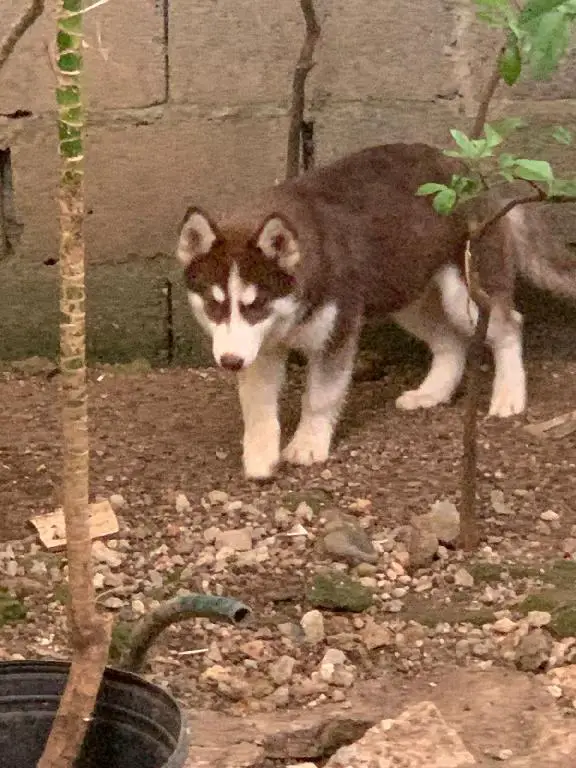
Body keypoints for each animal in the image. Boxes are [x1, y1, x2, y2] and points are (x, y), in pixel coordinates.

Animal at [176, 142, 576, 480]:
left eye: (256, 304)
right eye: (213, 305)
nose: (229, 362)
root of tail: (477, 175)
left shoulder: (336, 333)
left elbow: (320, 397)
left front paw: (307, 444)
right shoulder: (259, 348)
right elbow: (257, 406)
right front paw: (260, 457)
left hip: (467, 294)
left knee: (509, 326)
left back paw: (509, 395)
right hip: (408, 295)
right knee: (450, 342)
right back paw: (432, 393)